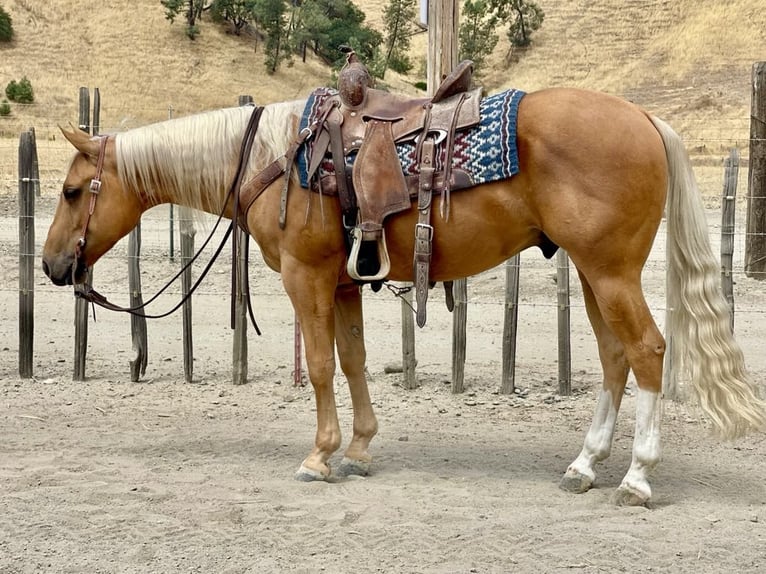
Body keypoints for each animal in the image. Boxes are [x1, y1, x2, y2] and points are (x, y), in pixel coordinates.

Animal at [42, 87, 766, 506]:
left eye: (74, 190)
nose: (51, 265)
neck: (276, 160)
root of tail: (644, 117)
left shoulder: (306, 277)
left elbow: (322, 367)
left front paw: (320, 457)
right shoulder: (341, 283)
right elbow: (355, 362)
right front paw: (360, 450)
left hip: (612, 272)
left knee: (647, 351)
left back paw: (638, 477)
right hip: (593, 274)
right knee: (615, 358)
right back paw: (585, 465)